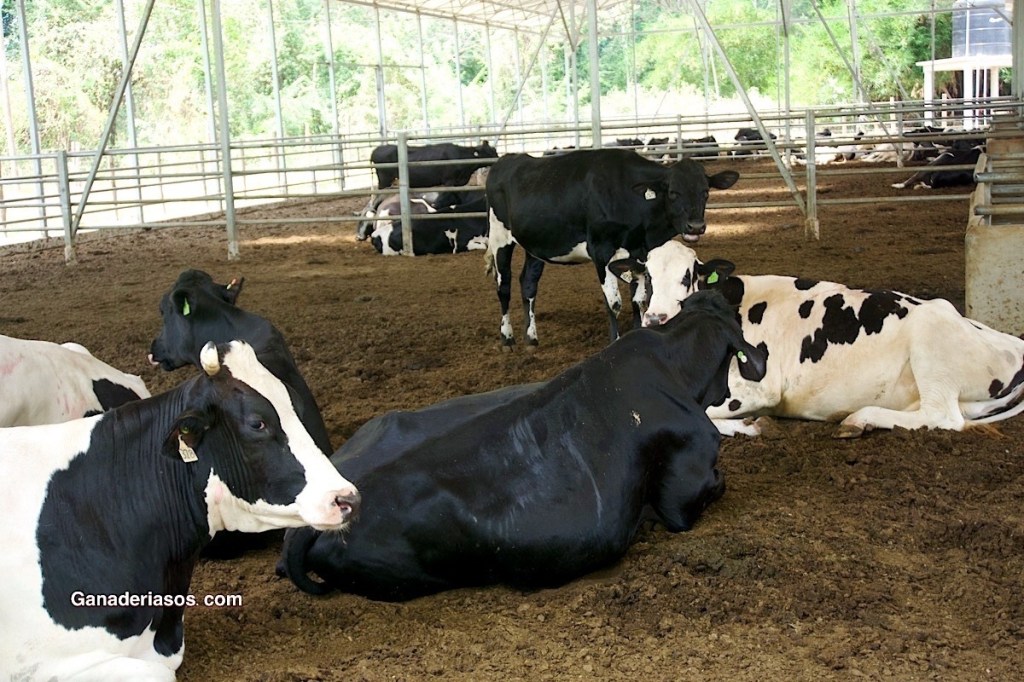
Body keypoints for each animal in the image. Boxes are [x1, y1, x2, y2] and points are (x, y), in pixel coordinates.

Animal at [484, 148, 739, 346]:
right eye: (673, 192)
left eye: (705, 192)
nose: (695, 226)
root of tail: (506, 161)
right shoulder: (600, 250)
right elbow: (614, 303)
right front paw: (614, 340)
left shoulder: (639, 251)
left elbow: (639, 299)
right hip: (499, 238)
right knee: (503, 286)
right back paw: (507, 337)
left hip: (535, 246)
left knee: (528, 283)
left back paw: (531, 338)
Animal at [610, 240, 1024, 438]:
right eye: (647, 276)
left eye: (689, 275)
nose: (657, 317)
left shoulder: (759, 388)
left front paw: (751, 426)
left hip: (931, 346)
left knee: (943, 416)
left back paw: (859, 419)